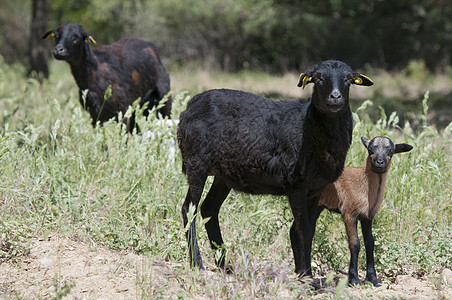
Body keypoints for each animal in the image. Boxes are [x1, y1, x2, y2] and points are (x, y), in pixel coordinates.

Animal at [42, 22, 171, 131]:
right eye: (56, 36)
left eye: (76, 37)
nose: (58, 50)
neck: (93, 76)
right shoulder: (95, 116)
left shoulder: (122, 112)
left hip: (164, 98)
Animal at [178, 59, 372, 278]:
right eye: (318, 78)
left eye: (349, 79)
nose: (335, 97)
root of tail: (189, 107)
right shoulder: (296, 184)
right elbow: (304, 230)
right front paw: (306, 273)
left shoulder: (316, 188)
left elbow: (308, 229)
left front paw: (302, 270)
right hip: (197, 163)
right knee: (189, 210)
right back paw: (197, 263)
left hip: (223, 175)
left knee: (209, 209)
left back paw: (225, 265)